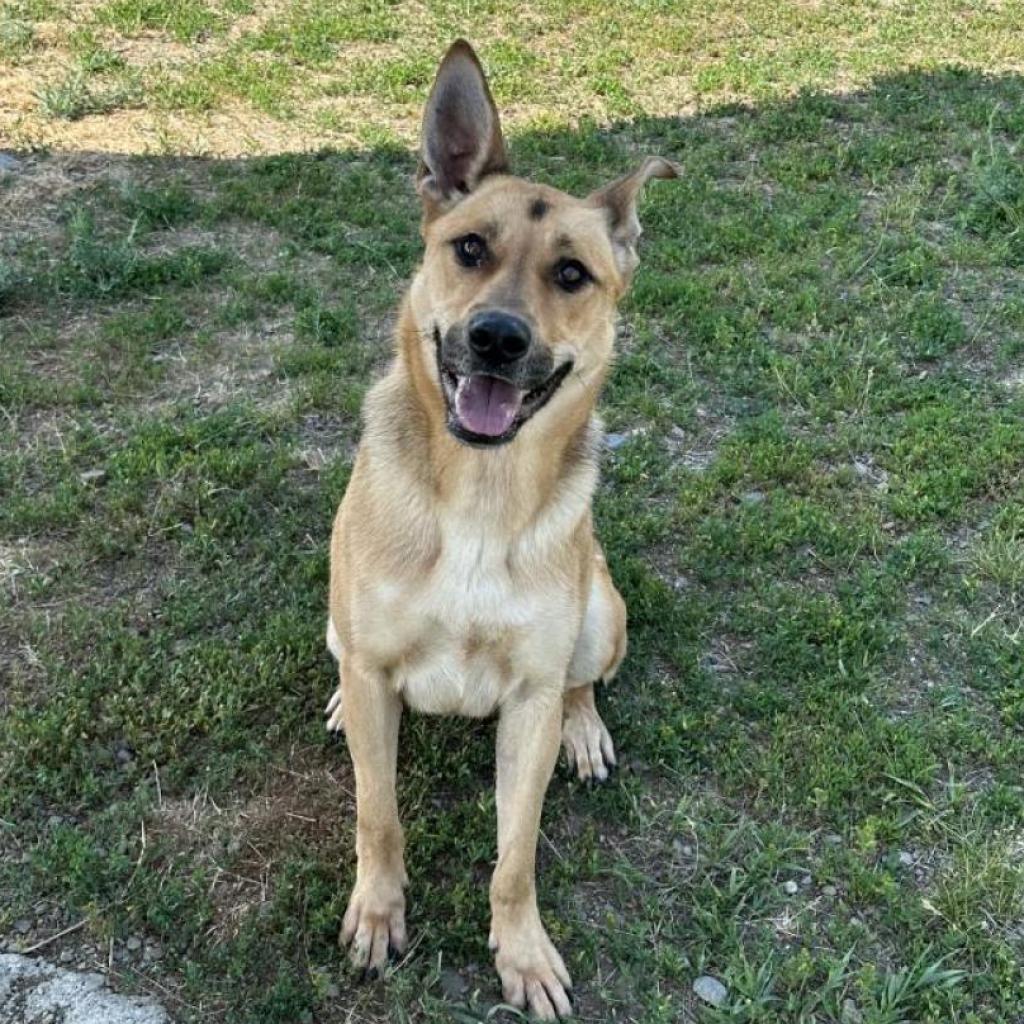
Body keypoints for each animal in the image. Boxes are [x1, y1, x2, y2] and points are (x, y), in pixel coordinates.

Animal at [327, 37, 675, 1015]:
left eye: (572, 274)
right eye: (470, 249)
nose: (496, 339)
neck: (479, 494)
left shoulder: (525, 700)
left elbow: (515, 855)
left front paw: (521, 953)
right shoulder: (375, 672)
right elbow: (378, 815)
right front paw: (377, 915)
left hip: (602, 611)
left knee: (581, 681)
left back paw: (584, 729)